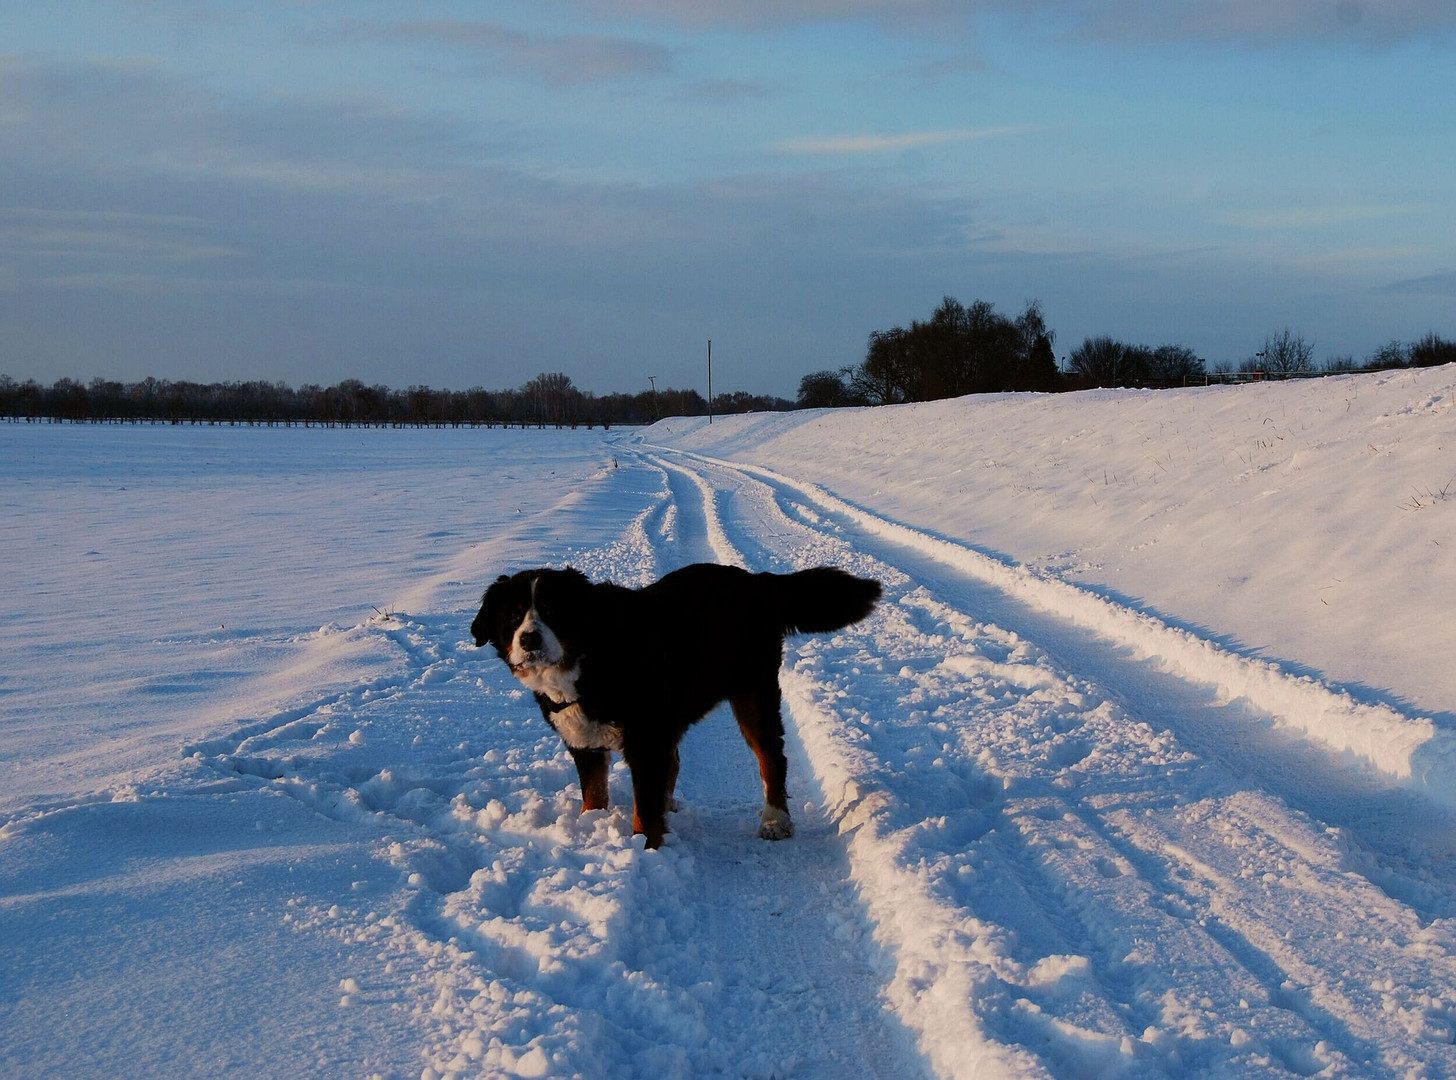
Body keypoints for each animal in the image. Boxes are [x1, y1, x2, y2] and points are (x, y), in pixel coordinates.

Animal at [471, 561, 879, 850]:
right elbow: (594, 795)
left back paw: (775, 820)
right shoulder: (585, 741)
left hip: (753, 696)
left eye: (554, 612)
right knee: (678, 760)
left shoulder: (645, 740)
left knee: (772, 758)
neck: (591, 658)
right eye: (512, 616)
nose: (529, 639)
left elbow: (644, 811)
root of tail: (757, 581)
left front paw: (643, 849)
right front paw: (592, 827)